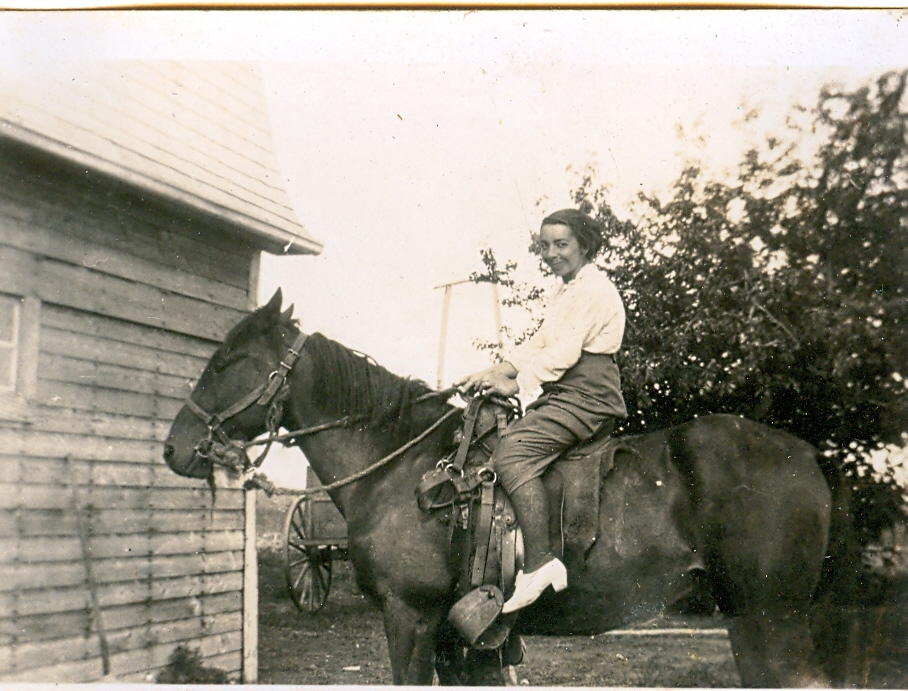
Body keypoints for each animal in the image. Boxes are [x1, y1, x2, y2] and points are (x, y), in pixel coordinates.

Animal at [163, 292, 844, 688]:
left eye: (224, 362)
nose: (174, 448)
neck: (400, 465)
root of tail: (808, 451)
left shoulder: (410, 620)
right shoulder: (458, 642)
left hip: (769, 619)